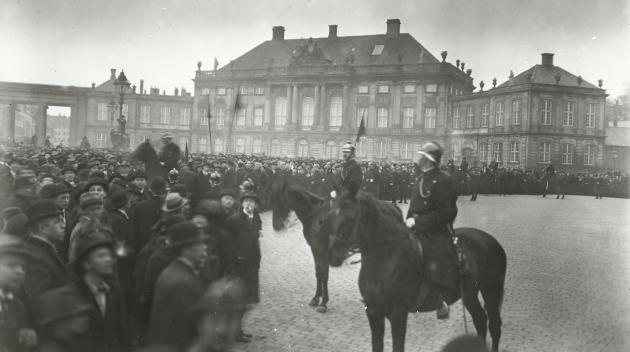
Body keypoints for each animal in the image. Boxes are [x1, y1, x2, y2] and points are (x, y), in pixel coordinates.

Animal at [272, 180, 336, 312]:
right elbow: (318, 273)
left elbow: (324, 275)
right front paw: (316, 298)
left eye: (280, 200)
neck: (316, 215)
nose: (276, 226)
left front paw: (323, 303)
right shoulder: (315, 250)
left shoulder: (321, 250)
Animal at [330, 190, 508, 352]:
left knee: (494, 325)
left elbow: (398, 346)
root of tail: (493, 241)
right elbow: (377, 345)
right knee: (481, 321)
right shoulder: (373, 312)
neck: (385, 258)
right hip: (471, 295)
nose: (333, 254)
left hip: (491, 290)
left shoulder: (398, 314)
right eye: (332, 214)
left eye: (350, 218)